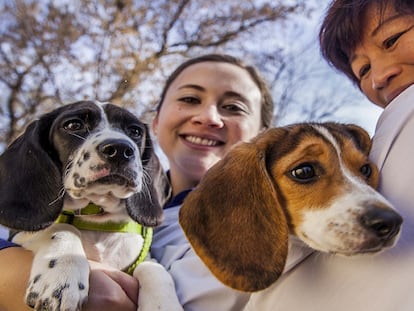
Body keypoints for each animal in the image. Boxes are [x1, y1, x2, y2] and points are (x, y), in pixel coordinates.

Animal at [0, 101, 183, 311]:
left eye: (135, 131)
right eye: (73, 125)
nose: (120, 149)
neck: (96, 218)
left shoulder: (143, 258)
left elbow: (153, 267)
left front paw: (163, 303)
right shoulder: (20, 236)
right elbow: (63, 227)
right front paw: (63, 275)